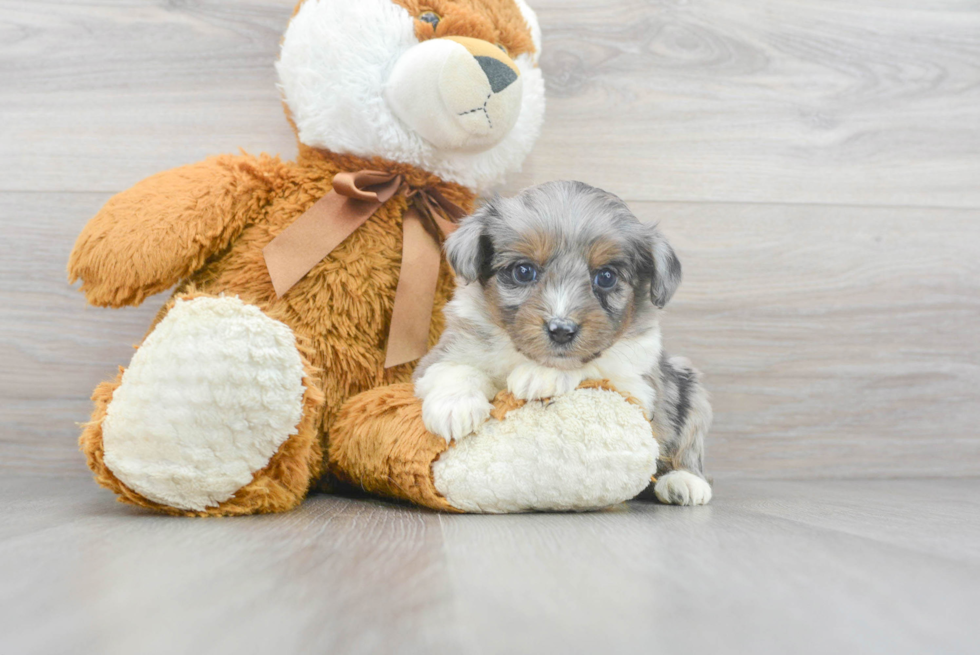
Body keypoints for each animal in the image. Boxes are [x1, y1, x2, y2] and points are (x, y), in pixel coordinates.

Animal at [414, 182, 712, 504]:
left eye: (606, 277)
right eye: (523, 271)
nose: (561, 330)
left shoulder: (637, 388)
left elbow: (596, 365)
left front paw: (541, 375)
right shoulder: (440, 354)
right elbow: (454, 368)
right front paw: (454, 406)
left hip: (691, 391)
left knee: (688, 450)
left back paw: (683, 482)